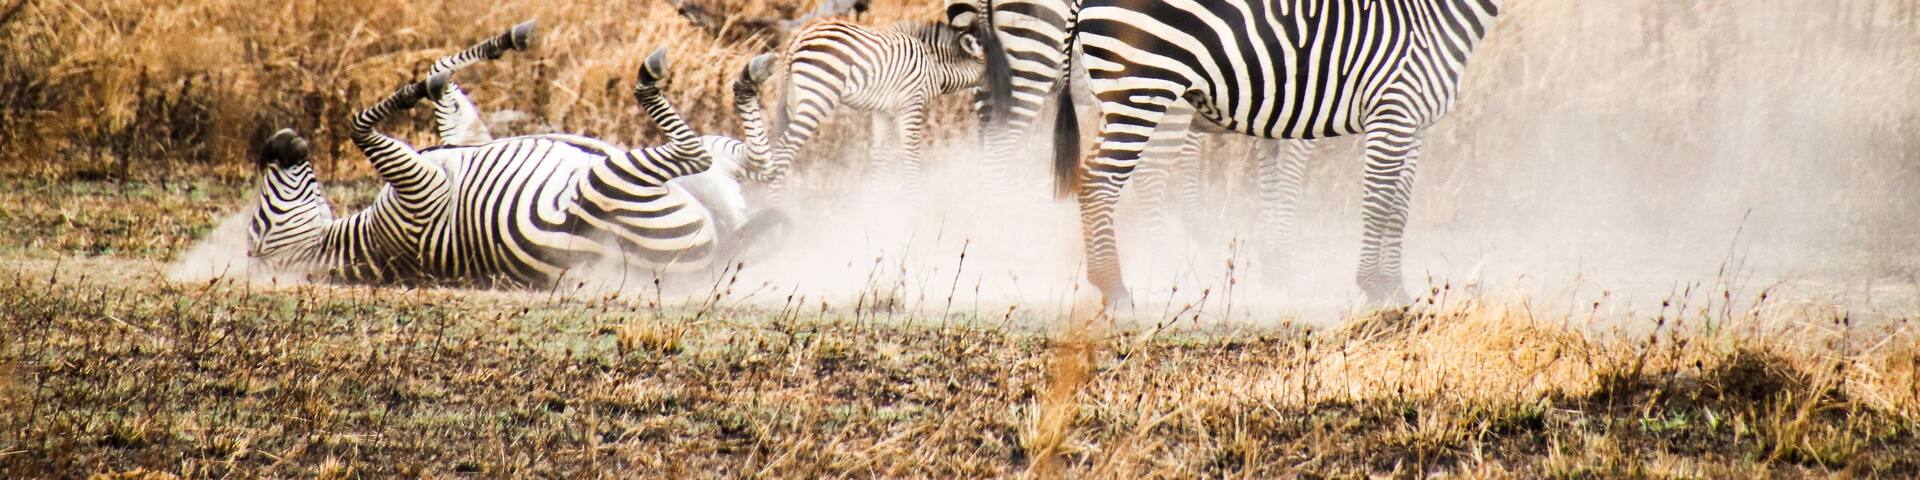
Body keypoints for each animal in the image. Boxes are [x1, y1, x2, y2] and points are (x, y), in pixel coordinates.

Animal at [248, 24, 783, 288]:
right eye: (263, 218)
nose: (278, 142)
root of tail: (718, 256)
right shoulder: (422, 185)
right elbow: (360, 122)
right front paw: (418, 89)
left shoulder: (463, 143)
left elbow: (441, 78)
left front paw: (490, 48)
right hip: (606, 184)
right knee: (701, 154)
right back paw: (662, 76)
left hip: (704, 178)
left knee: (755, 164)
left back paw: (752, 81)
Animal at [748, 8, 987, 200]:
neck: (934, 67)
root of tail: (798, 38)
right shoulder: (911, 104)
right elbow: (911, 154)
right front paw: (914, 203)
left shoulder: (883, 111)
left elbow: (879, 156)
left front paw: (873, 205)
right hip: (818, 97)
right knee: (783, 148)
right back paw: (777, 206)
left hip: (793, 100)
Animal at [970, 0, 1504, 306]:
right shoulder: (1390, 110)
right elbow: (1375, 205)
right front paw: (1374, 286)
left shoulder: (1412, 123)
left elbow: (1398, 209)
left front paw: (1394, 287)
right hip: (1133, 84)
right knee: (1096, 180)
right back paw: (1113, 286)